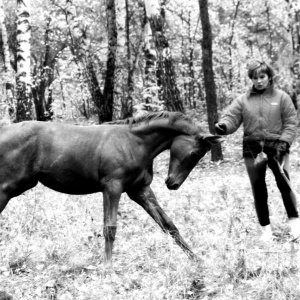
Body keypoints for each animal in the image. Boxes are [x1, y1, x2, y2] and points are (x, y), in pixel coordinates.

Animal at [0, 111, 220, 266]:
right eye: (194, 154)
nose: (172, 183)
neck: (134, 143)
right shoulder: (112, 188)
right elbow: (110, 229)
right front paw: (107, 267)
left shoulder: (140, 190)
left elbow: (168, 224)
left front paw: (197, 259)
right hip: (6, 189)